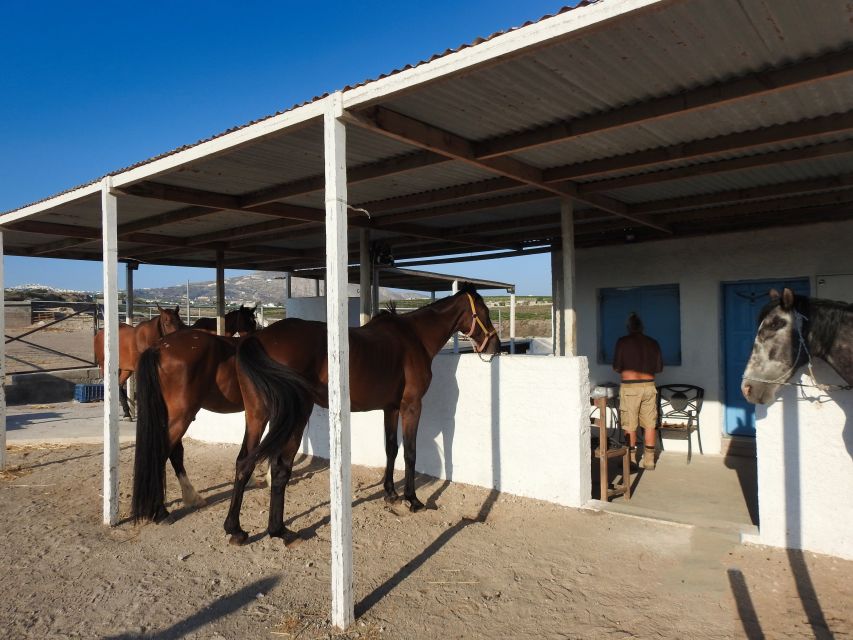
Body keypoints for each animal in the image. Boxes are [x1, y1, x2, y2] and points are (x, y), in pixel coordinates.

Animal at [130, 328, 243, 524]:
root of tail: (158, 348)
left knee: (175, 453)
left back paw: (192, 498)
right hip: (181, 417)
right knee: (163, 454)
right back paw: (161, 512)